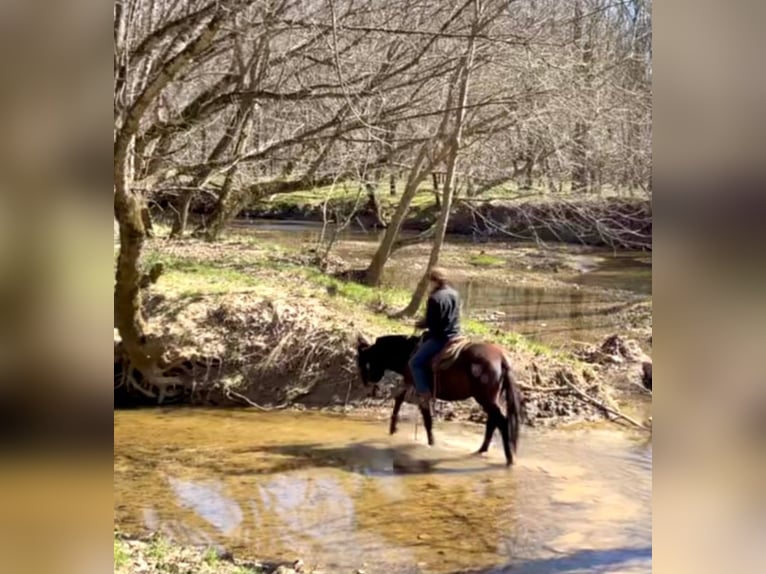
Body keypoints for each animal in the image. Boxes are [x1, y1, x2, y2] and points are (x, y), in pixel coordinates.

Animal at [358, 336, 524, 466]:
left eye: (365, 363)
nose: (369, 384)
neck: (408, 353)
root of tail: (501, 358)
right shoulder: (411, 384)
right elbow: (400, 400)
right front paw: (393, 429)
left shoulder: (418, 388)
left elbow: (426, 418)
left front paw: (431, 443)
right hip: (490, 399)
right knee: (493, 422)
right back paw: (482, 450)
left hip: (485, 399)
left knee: (501, 421)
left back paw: (509, 458)